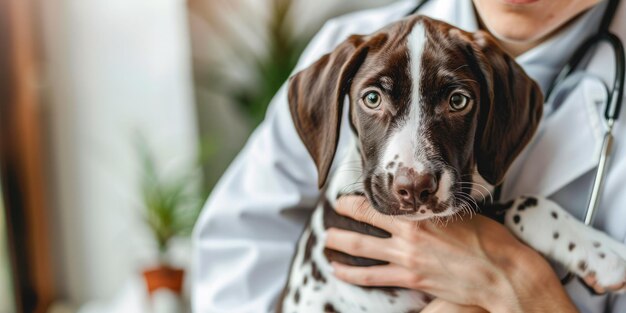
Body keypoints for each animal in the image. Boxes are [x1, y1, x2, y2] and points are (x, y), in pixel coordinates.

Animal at [276, 15, 624, 312]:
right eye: (372, 98)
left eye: (458, 100)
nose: (414, 188)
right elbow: (522, 204)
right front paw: (606, 253)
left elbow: (524, 203)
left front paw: (598, 248)